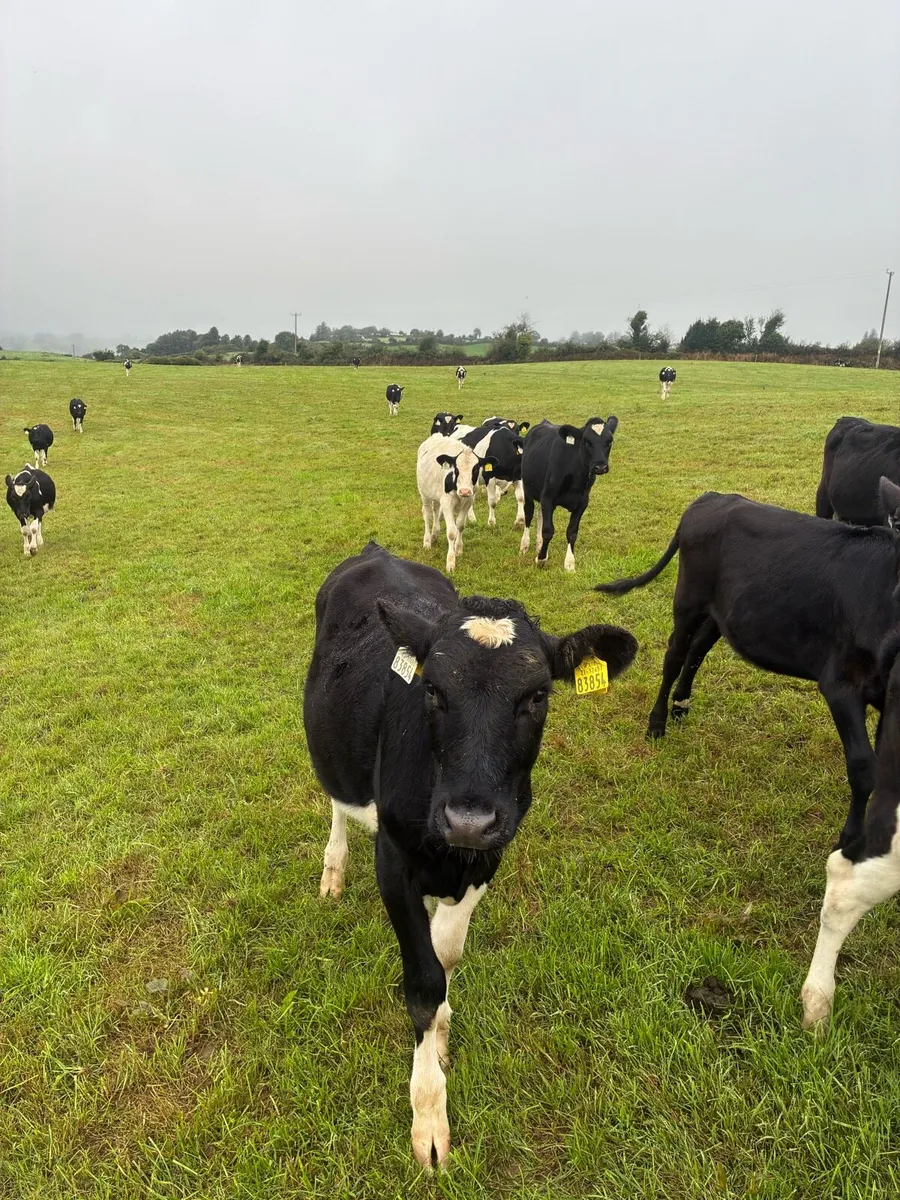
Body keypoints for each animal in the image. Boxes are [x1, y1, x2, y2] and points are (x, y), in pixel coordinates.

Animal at [303, 541, 638, 1166]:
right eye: (433, 690)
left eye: (537, 695)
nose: (469, 818)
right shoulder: (393, 861)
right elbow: (423, 981)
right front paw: (429, 1115)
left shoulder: (487, 858)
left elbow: (447, 954)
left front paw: (440, 1034)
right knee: (338, 803)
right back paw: (332, 872)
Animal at [417, 434, 497, 572]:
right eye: (456, 470)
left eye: (475, 469)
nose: (464, 491)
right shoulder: (447, 502)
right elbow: (451, 532)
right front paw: (450, 561)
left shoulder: (469, 500)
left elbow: (460, 525)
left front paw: (458, 549)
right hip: (424, 494)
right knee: (427, 515)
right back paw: (427, 541)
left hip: (437, 496)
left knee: (436, 511)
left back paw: (435, 535)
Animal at [519, 417, 618, 571]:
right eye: (586, 441)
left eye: (609, 441)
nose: (600, 466)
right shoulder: (548, 497)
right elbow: (548, 530)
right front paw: (541, 559)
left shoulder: (582, 503)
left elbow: (572, 532)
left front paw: (570, 563)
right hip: (528, 490)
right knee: (529, 515)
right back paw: (525, 545)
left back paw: (539, 545)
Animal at [594, 481, 900, 848]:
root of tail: (712, 497)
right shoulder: (841, 684)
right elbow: (862, 766)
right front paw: (850, 841)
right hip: (688, 600)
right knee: (675, 656)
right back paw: (657, 723)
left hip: (720, 612)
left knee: (697, 650)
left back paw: (681, 704)